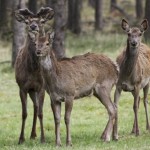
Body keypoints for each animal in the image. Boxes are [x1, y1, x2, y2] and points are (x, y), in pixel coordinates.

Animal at [14, 7, 54, 144]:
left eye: (42, 21)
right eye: (27, 21)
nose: (33, 26)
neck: (32, 70)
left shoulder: (41, 87)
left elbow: (41, 113)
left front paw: (43, 139)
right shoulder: (22, 87)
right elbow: (24, 113)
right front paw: (21, 138)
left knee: (40, 107)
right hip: (31, 90)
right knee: (35, 106)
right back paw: (32, 134)